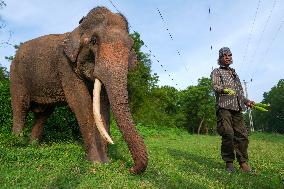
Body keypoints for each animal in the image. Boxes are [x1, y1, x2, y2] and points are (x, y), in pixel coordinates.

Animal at [10, 6, 148, 174]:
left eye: (131, 46)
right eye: (94, 41)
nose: (130, 169)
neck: (76, 30)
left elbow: (103, 107)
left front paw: (105, 162)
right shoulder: (65, 66)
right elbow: (81, 104)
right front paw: (96, 162)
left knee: (43, 114)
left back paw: (34, 145)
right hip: (16, 76)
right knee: (20, 107)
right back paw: (17, 143)